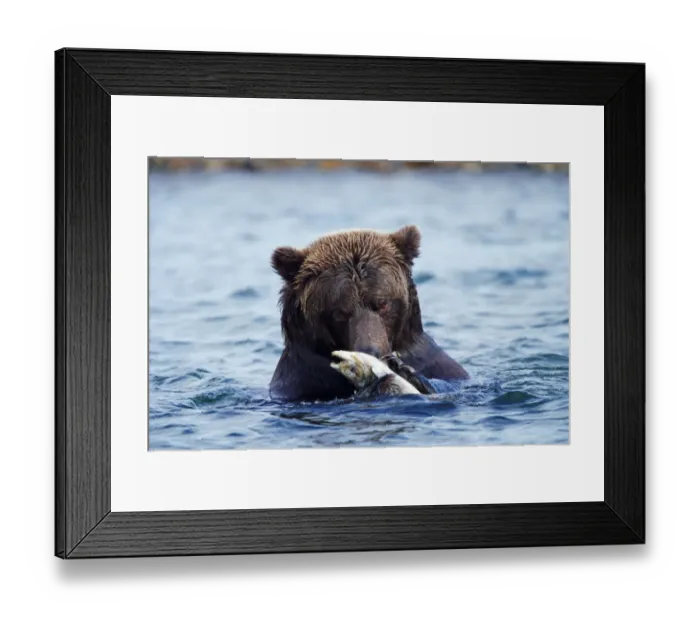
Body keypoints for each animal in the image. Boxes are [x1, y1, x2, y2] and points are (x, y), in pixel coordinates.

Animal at [269, 225, 469, 402]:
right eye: (340, 311)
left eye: (383, 304)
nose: (371, 351)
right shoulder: (304, 382)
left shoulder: (438, 367)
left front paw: (403, 370)